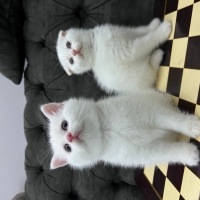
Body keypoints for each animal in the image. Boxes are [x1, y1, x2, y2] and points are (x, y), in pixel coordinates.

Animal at [39, 91, 199, 170]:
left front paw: (193, 126)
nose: (70, 137)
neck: (103, 130)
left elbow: (173, 120)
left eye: (64, 125)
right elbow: (169, 152)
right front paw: (188, 154)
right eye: (68, 148)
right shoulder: (146, 152)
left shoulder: (153, 113)